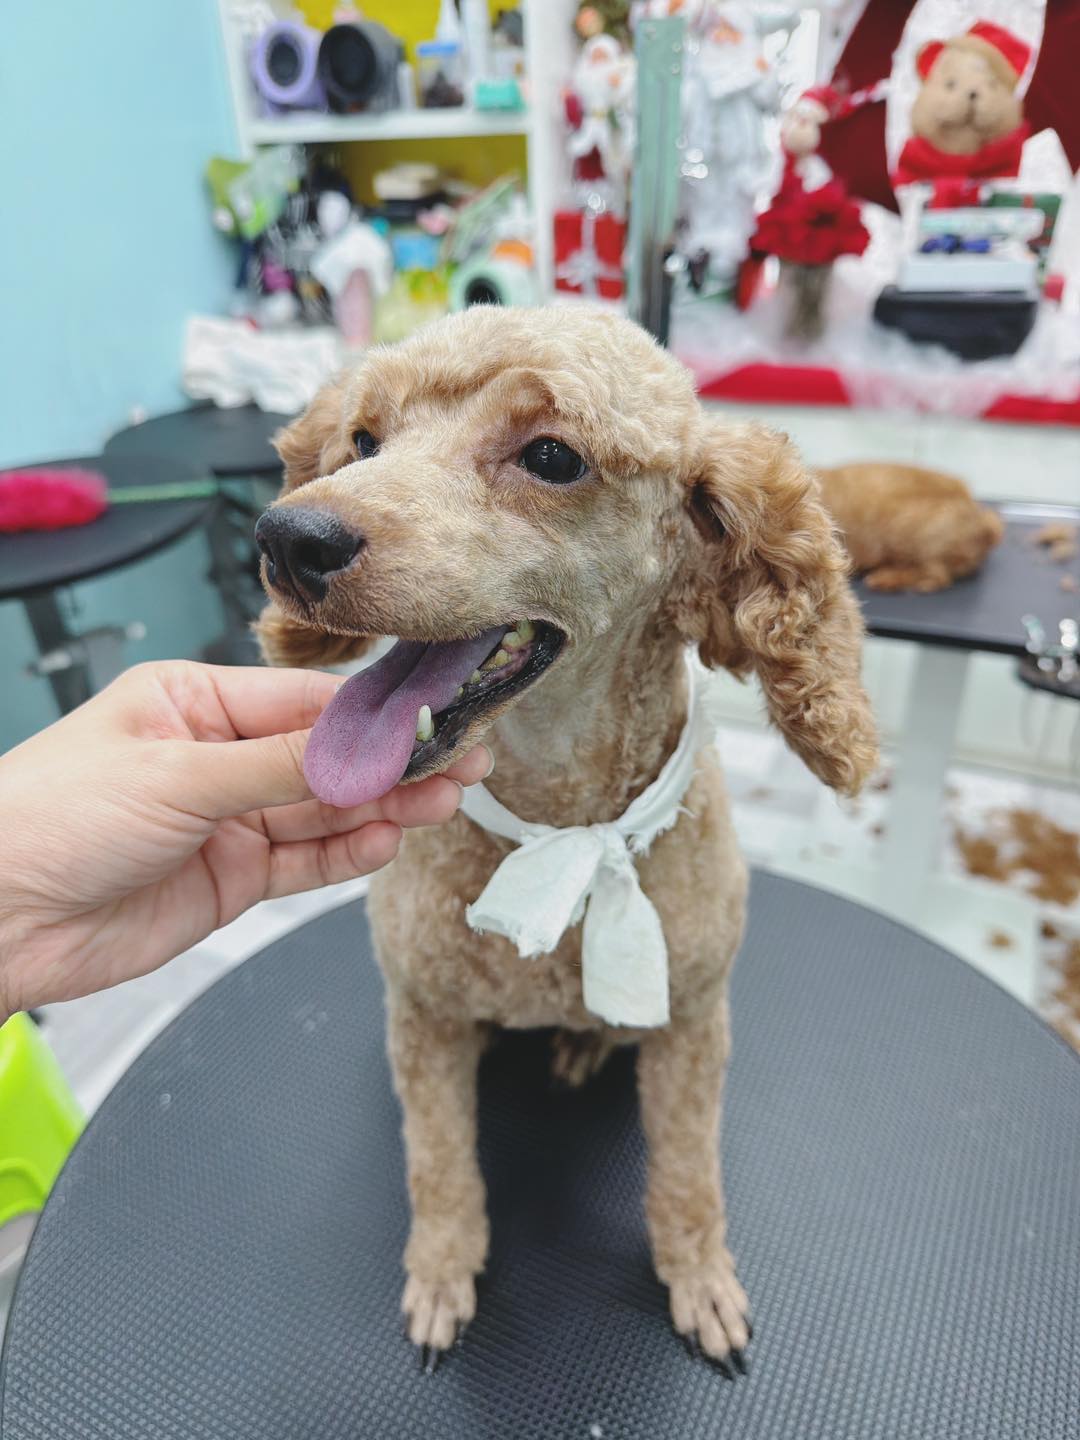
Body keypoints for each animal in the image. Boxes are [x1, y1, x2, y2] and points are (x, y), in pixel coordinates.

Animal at [255, 306, 878, 1370]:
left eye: (552, 457)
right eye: (364, 442)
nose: (292, 537)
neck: (561, 827)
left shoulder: (693, 1023)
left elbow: (688, 1172)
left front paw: (699, 1277)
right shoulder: (424, 1019)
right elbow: (439, 1163)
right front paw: (442, 1270)